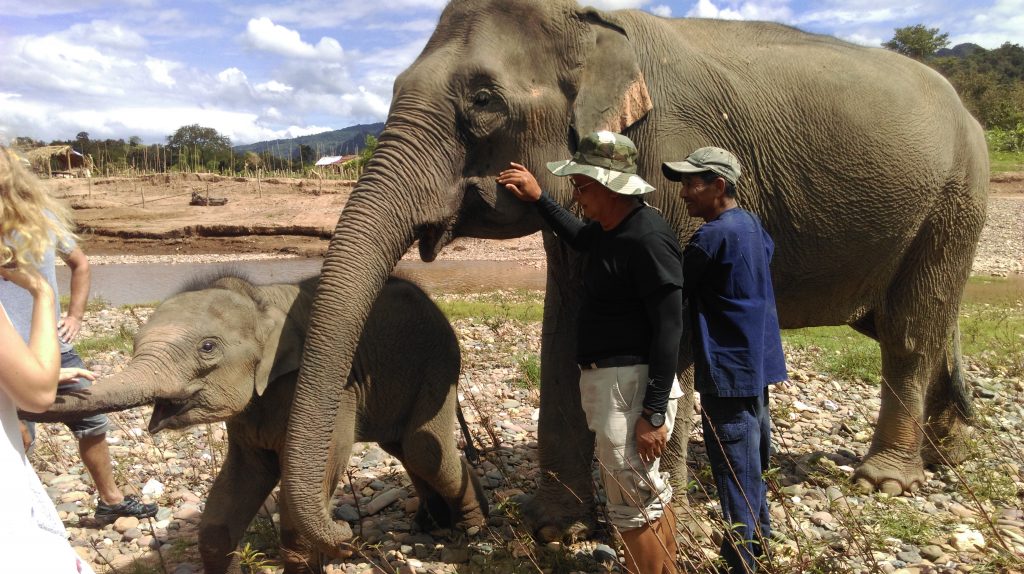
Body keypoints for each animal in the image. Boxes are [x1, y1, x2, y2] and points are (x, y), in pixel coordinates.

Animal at [28, 276, 483, 568]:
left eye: (207, 347)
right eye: (135, 343)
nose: (348, 536)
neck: (259, 300)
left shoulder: (326, 391)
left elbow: (305, 489)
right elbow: (237, 487)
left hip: (437, 363)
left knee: (421, 448)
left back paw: (472, 532)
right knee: (402, 447)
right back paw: (431, 524)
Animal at [284, 0, 987, 548]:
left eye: (483, 100)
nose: (340, 530)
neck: (589, 21)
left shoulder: (666, 158)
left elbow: (668, 328)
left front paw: (666, 522)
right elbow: (565, 329)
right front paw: (554, 528)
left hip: (956, 196)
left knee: (910, 332)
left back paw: (886, 479)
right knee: (909, 324)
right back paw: (947, 454)